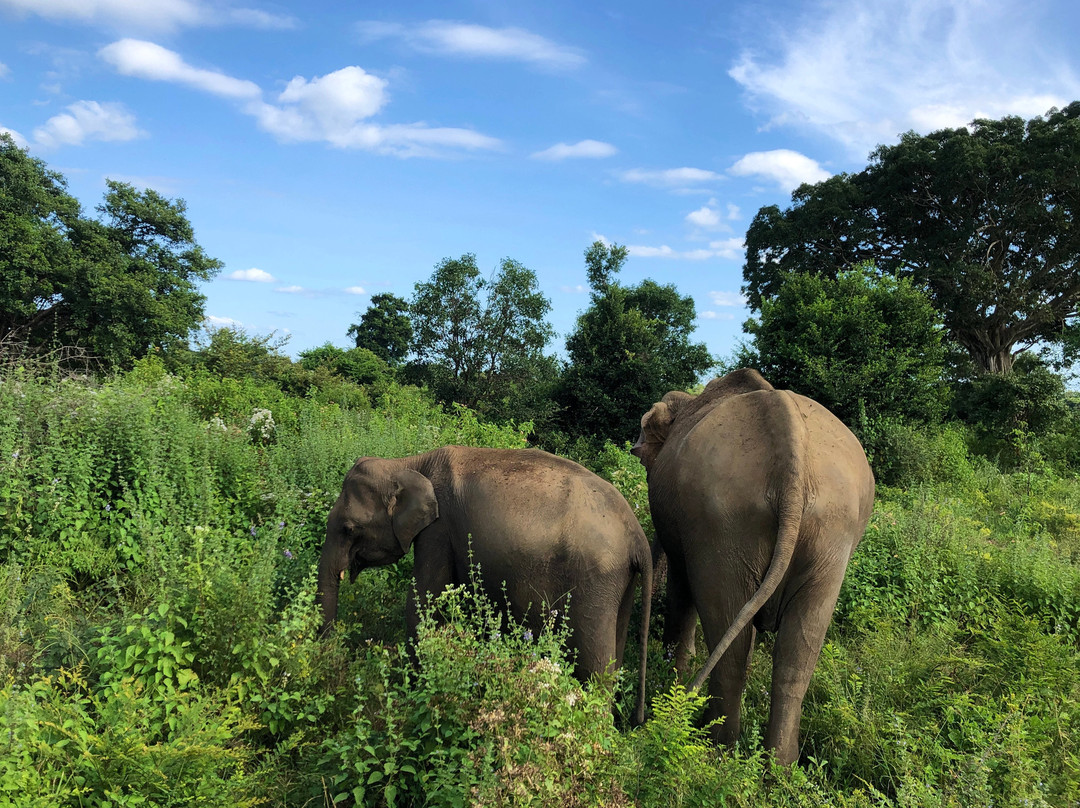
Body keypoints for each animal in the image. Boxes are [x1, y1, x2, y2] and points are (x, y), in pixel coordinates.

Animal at [319, 445, 652, 721]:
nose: (338, 659)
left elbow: (423, 603)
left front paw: (412, 694)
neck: (408, 463)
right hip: (619, 583)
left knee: (596, 667)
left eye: (349, 528)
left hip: (595, 580)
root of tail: (638, 536)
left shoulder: (438, 531)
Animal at [630, 369, 872, 760]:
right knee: (795, 655)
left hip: (722, 523)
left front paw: (673, 674)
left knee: (730, 636)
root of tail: (793, 466)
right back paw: (778, 765)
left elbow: (682, 587)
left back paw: (715, 746)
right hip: (830, 533)